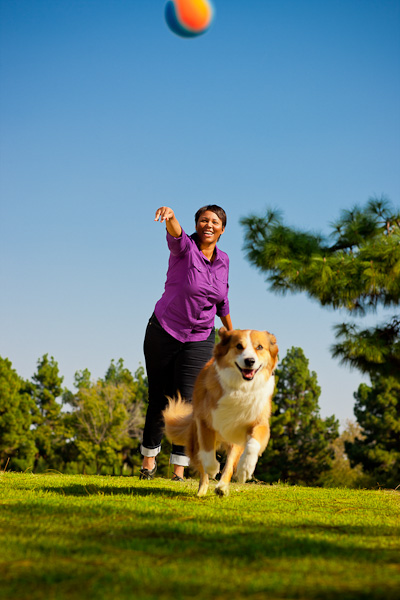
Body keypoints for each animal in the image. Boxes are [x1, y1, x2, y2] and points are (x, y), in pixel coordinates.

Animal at [162, 328, 278, 496]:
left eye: (260, 347)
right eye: (239, 346)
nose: (250, 361)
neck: (241, 387)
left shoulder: (259, 422)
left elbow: (253, 444)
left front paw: (245, 468)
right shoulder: (205, 422)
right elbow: (207, 453)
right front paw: (212, 468)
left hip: (235, 441)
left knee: (228, 465)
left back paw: (222, 487)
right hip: (195, 439)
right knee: (202, 466)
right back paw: (202, 489)